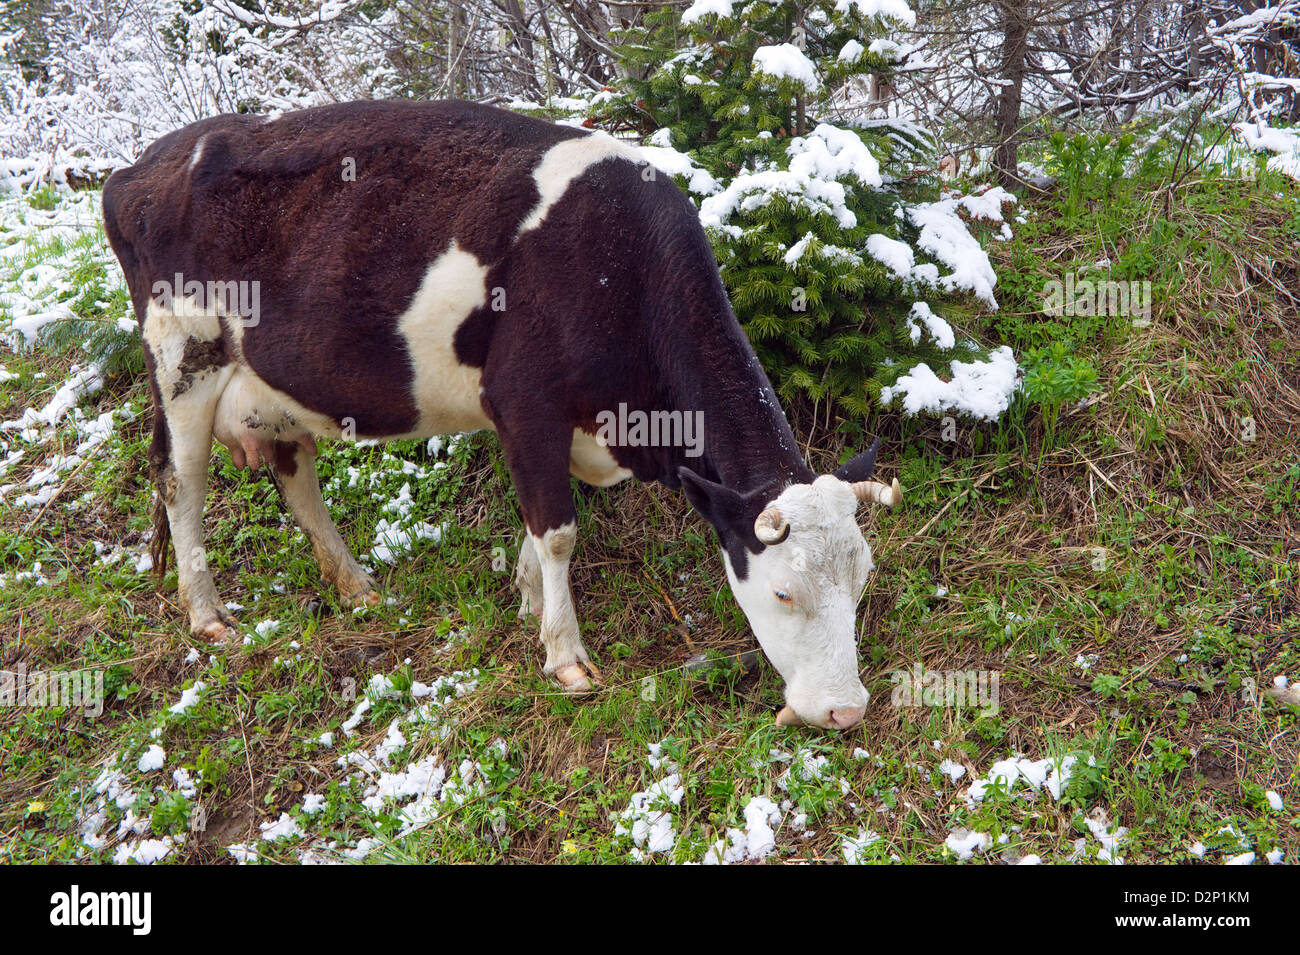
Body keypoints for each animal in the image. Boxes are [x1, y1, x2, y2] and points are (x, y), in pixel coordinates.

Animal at [101, 99, 902, 731]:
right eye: (782, 591)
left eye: (862, 578)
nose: (844, 709)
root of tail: (139, 166)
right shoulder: (527, 403)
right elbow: (559, 529)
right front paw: (565, 653)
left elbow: (538, 523)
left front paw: (526, 601)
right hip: (181, 357)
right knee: (179, 481)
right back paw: (208, 614)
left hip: (276, 390)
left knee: (297, 481)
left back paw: (356, 585)